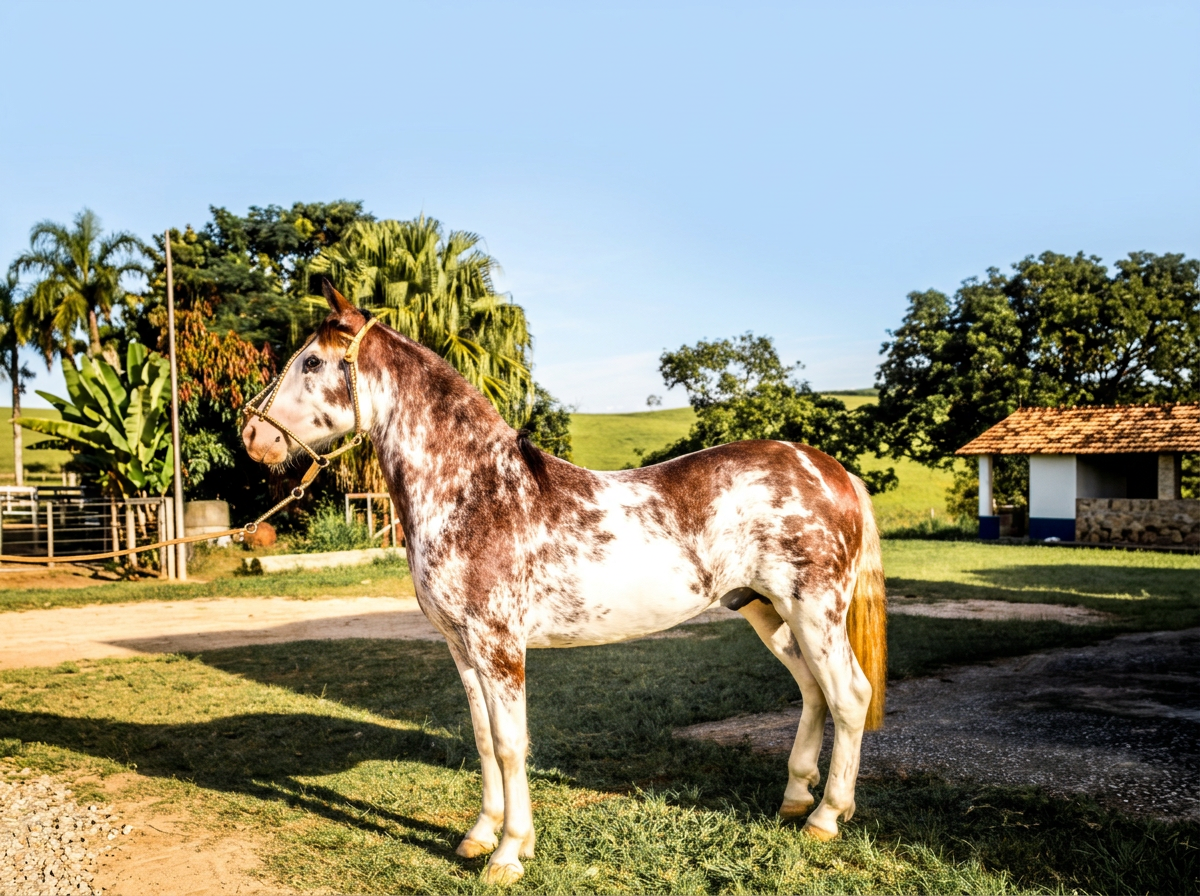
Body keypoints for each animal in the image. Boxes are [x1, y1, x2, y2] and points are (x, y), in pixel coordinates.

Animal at [241, 285, 887, 885]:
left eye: (312, 361)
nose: (251, 435)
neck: (474, 492)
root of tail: (830, 470)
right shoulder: (462, 648)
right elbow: (483, 739)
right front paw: (480, 836)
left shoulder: (500, 647)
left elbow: (511, 744)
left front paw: (508, 854)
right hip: (766, 611)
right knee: (813, 690)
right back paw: (796, 798)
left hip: (815, 610)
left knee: (849, 695)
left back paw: (827, 817)